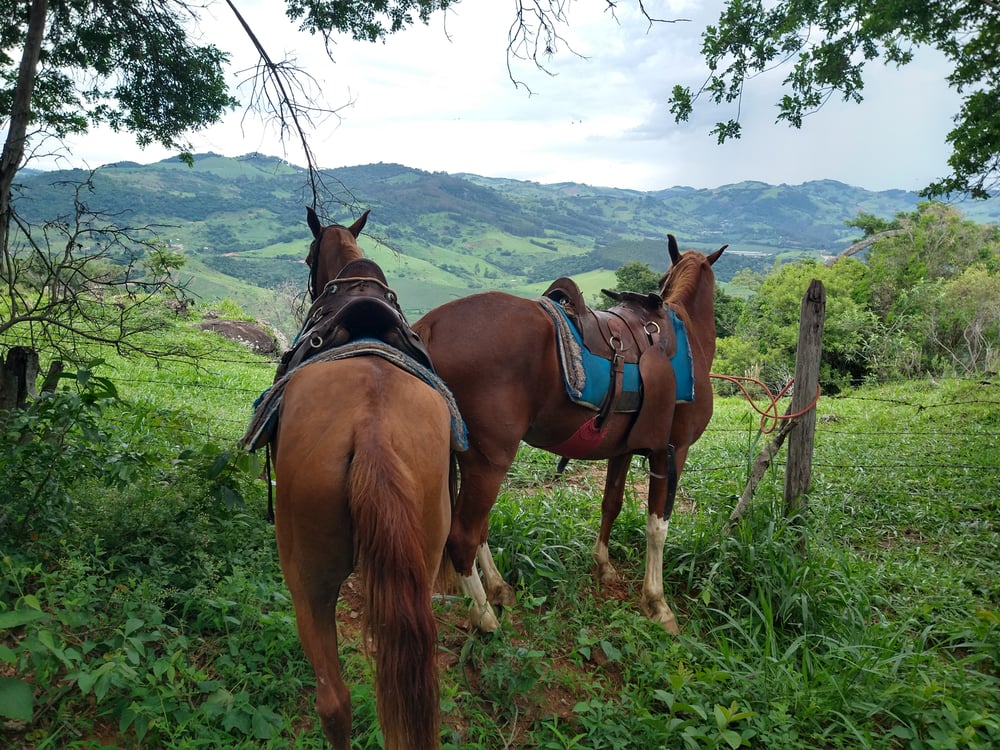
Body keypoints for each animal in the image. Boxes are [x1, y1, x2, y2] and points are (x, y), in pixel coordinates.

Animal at [411, 237, 725, 634]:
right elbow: (658, 527)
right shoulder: (671, 451)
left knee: (476, 529)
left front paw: (603, 566)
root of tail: (431, 324)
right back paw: (485, 617)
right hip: (489, 462)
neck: (688, 335)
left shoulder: (623, 449)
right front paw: (657, 603)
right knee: (464, 535)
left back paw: (498, 589)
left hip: (473, 462)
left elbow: (611, 504)